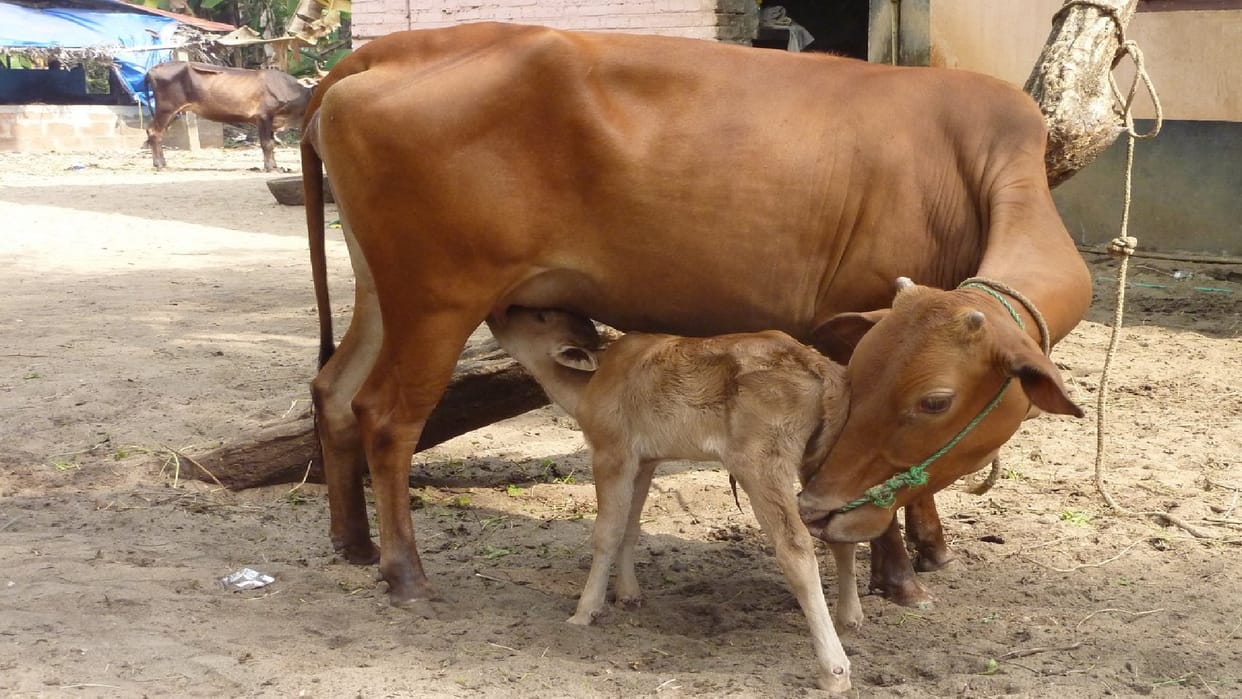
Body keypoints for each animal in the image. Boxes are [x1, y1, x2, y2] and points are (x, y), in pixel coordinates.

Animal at [144, 61, 311, 172]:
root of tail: (152, 70)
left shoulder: (272, 120)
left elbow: (271, 143)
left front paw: (276, 166)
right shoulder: (263, 116)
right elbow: (267, 144)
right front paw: (271, 168)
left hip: (173, 112)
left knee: (158, 133)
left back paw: (162, 163)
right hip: (166, 109)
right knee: (154, 132)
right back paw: (159, 164)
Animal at [301, 23, 1089, 619]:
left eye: (933, 401)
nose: (820, 509)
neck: (974, 165)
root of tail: (384, 50)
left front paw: (930, 546)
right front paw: (897, 573)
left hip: (382, 291)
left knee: (334, 389)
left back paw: (353, 543)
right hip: (437, 300)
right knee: (387, 416)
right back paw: (405, 571)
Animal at [488, 306, 860, 692]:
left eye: (540, 316)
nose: (500, 312)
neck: (590, 385)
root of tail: (818, 367)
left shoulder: (611, 453)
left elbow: (606, 532)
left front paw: (584, 612)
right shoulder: (646, 460)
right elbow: (631, 528)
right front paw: (629, 595)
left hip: (759, 462)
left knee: (796, 548)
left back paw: (834, 669)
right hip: (819, 457)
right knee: (841, 531)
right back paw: (849, 619)